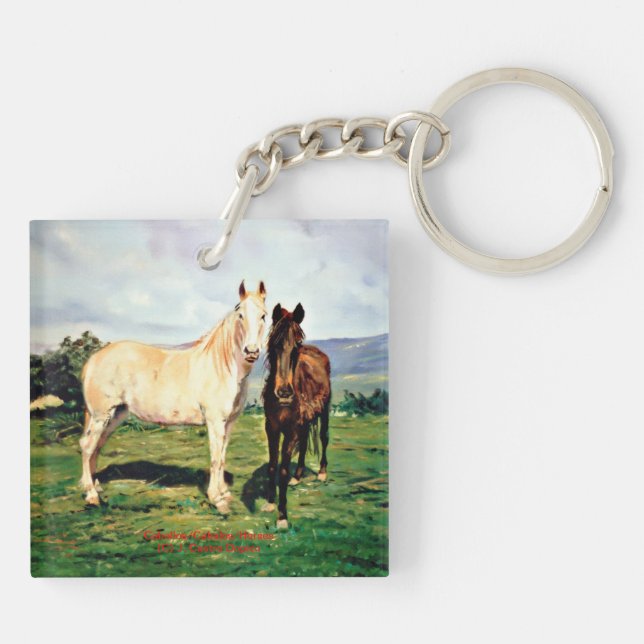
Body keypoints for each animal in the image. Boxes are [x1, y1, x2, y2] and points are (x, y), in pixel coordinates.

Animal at [79, 280, 267, 515]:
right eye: (240, 315)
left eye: (263, 315)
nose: (251, 351)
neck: (222, 367)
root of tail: (93, 359)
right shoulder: (215, 422)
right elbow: (215, 458)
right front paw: (217, 499)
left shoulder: (229, 423)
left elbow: (222, 456)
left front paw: (224, 493)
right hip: (100, 415)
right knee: (87, 446)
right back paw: (91, 496)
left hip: (115, 414)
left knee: (97, 445)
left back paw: (96, 486)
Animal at [262, 303, 331, 529]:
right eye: (274, 342)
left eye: (297, 344)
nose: (284, 392)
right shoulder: (271, 428)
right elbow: (272, 466)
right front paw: (270, 502)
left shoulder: (290, 430)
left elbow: (283, 470)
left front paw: (282, 516)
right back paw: (298, 476)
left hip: (325, 410)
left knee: (324, 437)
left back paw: (322, 472)